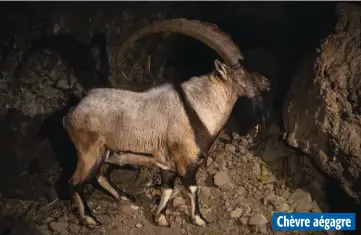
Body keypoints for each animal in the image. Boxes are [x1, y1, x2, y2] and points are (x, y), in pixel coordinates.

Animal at [63, 18, 268, 228]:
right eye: (242, 73)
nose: (265, 82)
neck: (196, 109)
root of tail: (73, 111)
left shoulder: (168, 166)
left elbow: (167, 189)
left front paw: (160, 218)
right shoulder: (185, 163)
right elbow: (192, 188)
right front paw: (199, 219)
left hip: (111, 154)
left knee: (101, 176)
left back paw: (126, 198)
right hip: (89, 153)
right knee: (75, 182)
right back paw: (90, 219)